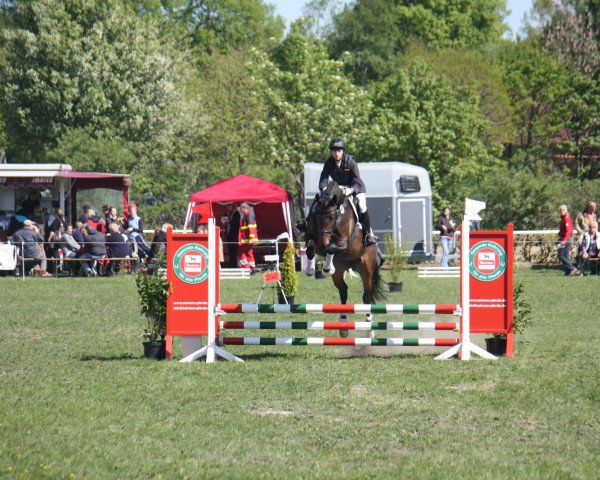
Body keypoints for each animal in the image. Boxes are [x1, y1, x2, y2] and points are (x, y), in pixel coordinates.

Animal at [304, 180, 390, 334]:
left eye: (332, 217)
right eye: (317, 215)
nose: (324, 241)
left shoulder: (344, 241)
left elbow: (331, 247)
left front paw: (326, 268)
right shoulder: (311, 237)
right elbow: (311, 248)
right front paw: (310, 269)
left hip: (366, 269)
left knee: (366, 295)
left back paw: (368, 324)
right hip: (340, 271)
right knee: (343, 291)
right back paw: (343, 324)